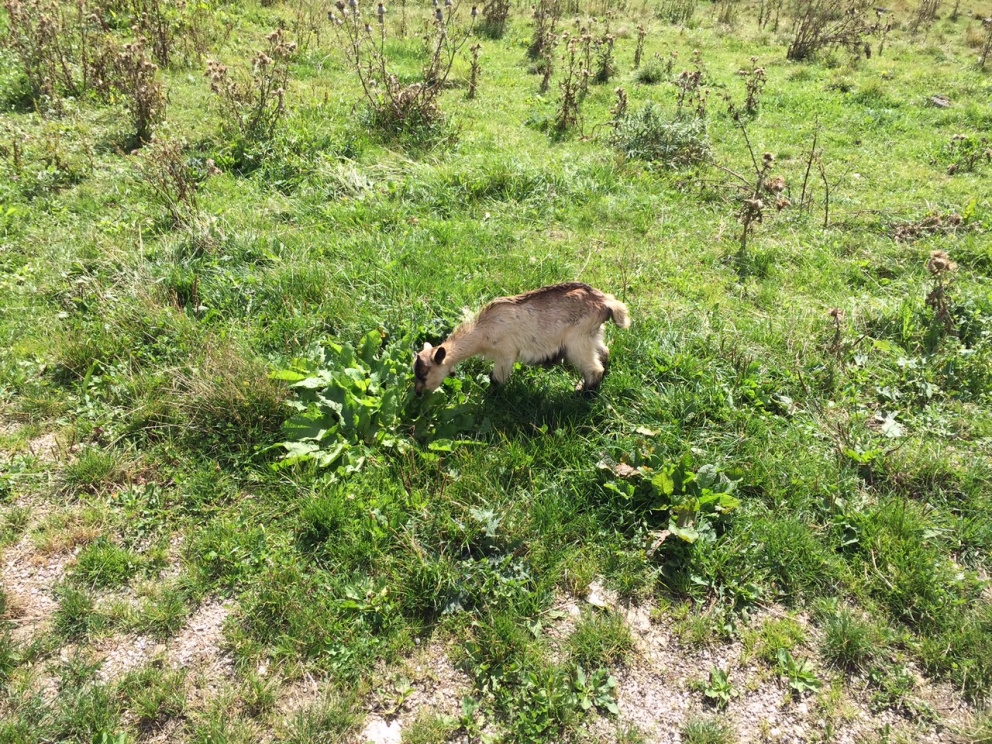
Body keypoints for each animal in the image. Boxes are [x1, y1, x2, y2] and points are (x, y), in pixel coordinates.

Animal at [413, 283, 631, 396]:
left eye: (424, 374)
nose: (417, 392)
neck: (482, 331)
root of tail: (606, 301)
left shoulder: (506, 354)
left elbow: (496, 379)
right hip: (593, 335)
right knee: (604, 353)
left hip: (577, 342)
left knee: (594, 369)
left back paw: (581, 394)